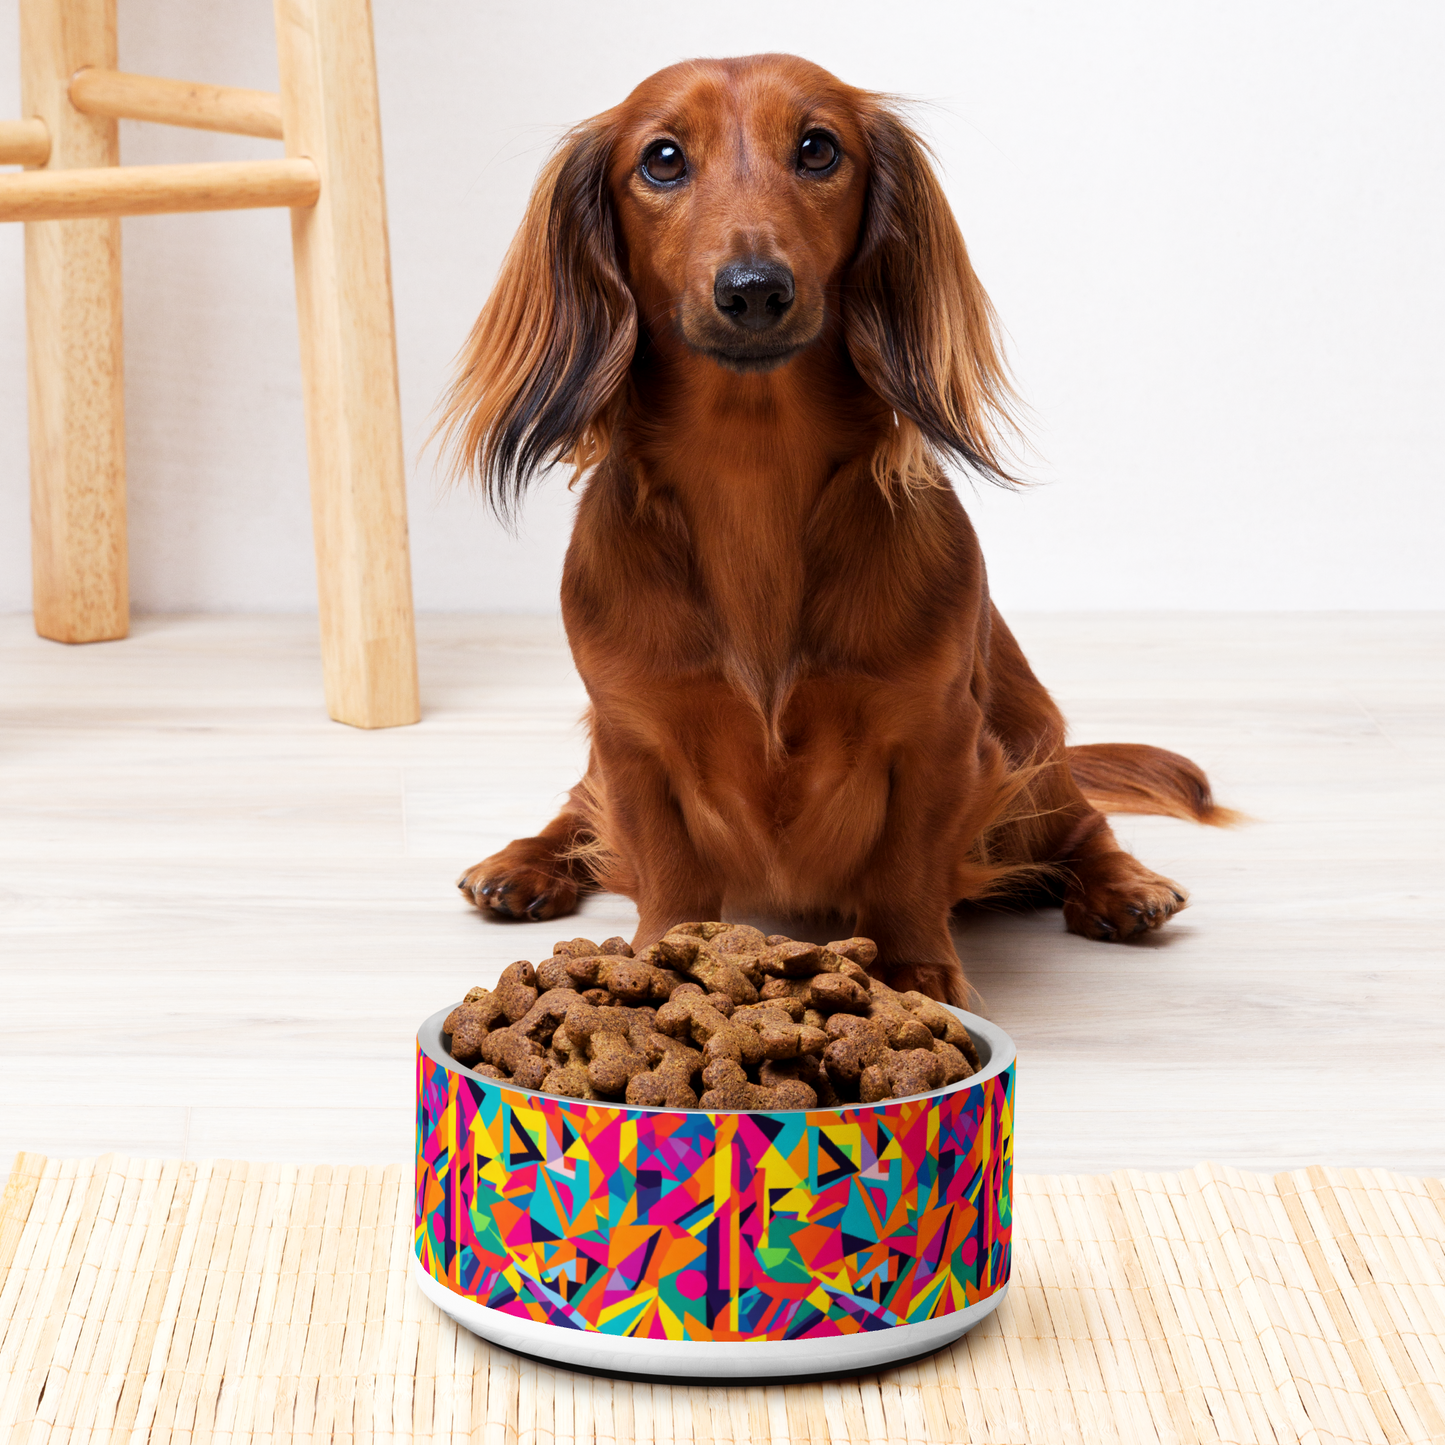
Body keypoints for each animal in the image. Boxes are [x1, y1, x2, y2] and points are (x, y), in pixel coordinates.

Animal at [436, 56, 1231, 1005]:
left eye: (818, 148)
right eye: (661, 159)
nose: (753, 290)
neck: (752, 473)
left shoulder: (937, 733)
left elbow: (906, 866)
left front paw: (916, 971)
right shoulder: (632, 735)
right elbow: (664, 864)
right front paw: (660, 958)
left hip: (1028, 744)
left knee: (1081, 823)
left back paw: (1123, 885)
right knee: (576, 810)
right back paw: (523, 863)